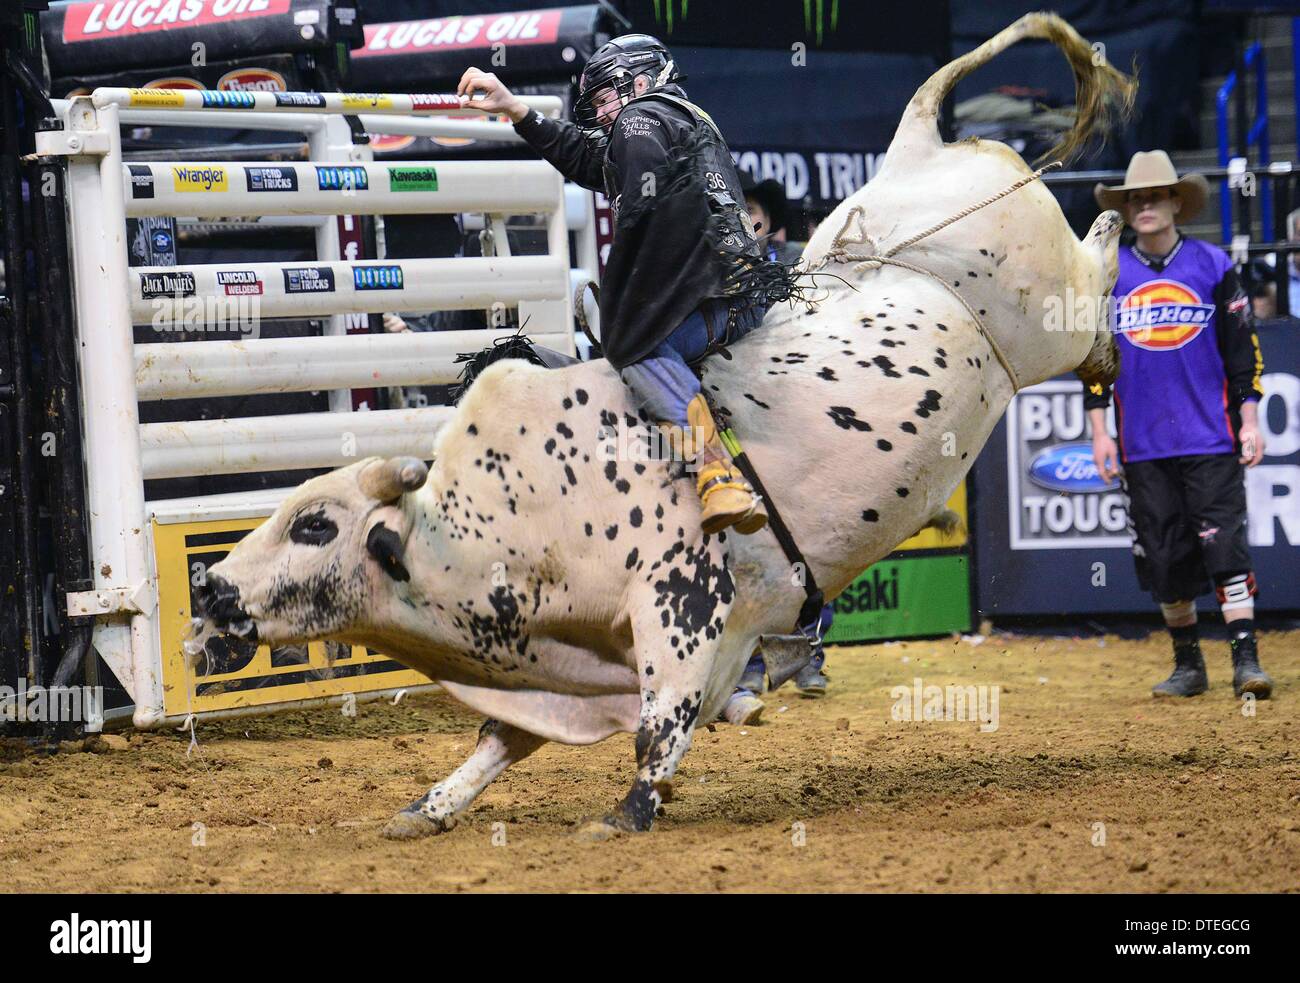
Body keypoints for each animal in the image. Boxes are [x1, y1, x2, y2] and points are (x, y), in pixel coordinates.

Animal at [195, 15, 1138, 837]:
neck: (513, 510)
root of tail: (915, 146)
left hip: (1041, 320)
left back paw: (1115, 235)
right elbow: (505, 736)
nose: (208, 589)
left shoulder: (682, 605)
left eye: (315, 525)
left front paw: (624, 813)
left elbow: (659, 721)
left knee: (1092, 278)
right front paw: (427, 807)